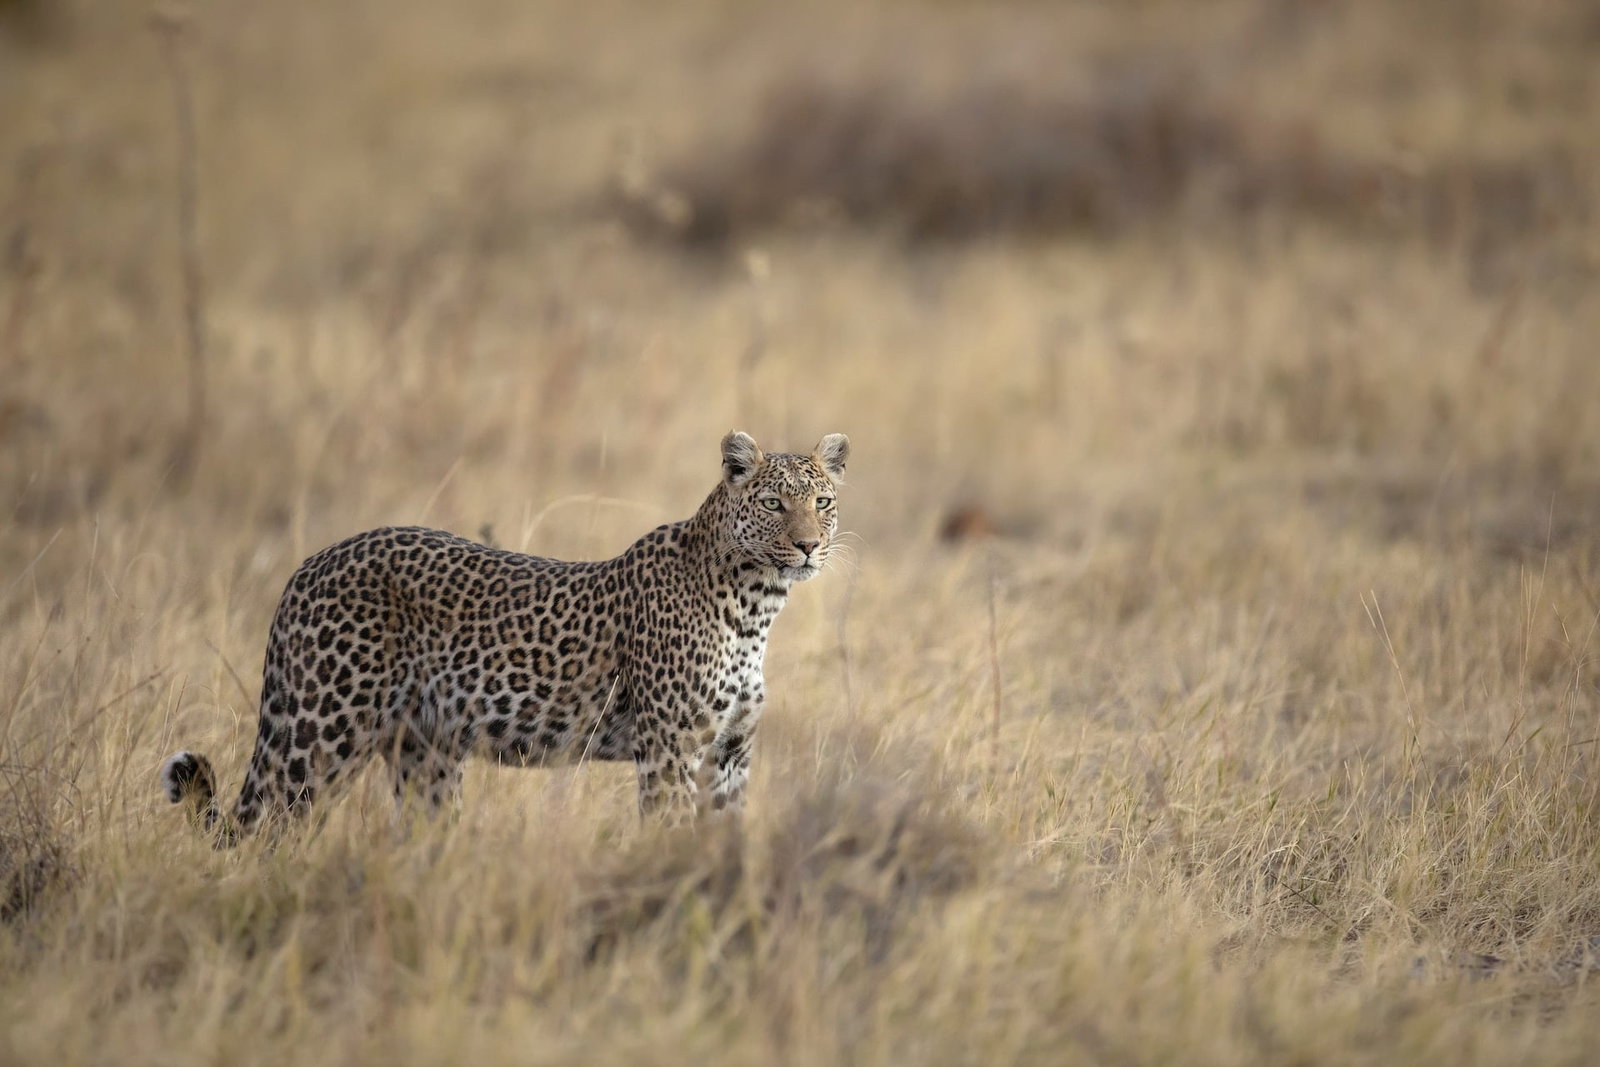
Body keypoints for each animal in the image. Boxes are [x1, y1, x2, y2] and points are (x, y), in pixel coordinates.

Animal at [160, 430, 849, 840]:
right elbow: (671, 837)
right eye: (773, 505)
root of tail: (310, 564)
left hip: (426, 754)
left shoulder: (730, 754)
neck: (756, 608)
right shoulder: (671, 750)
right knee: (262, 834)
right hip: (318, 735)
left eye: (822, 501)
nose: (807, 546)